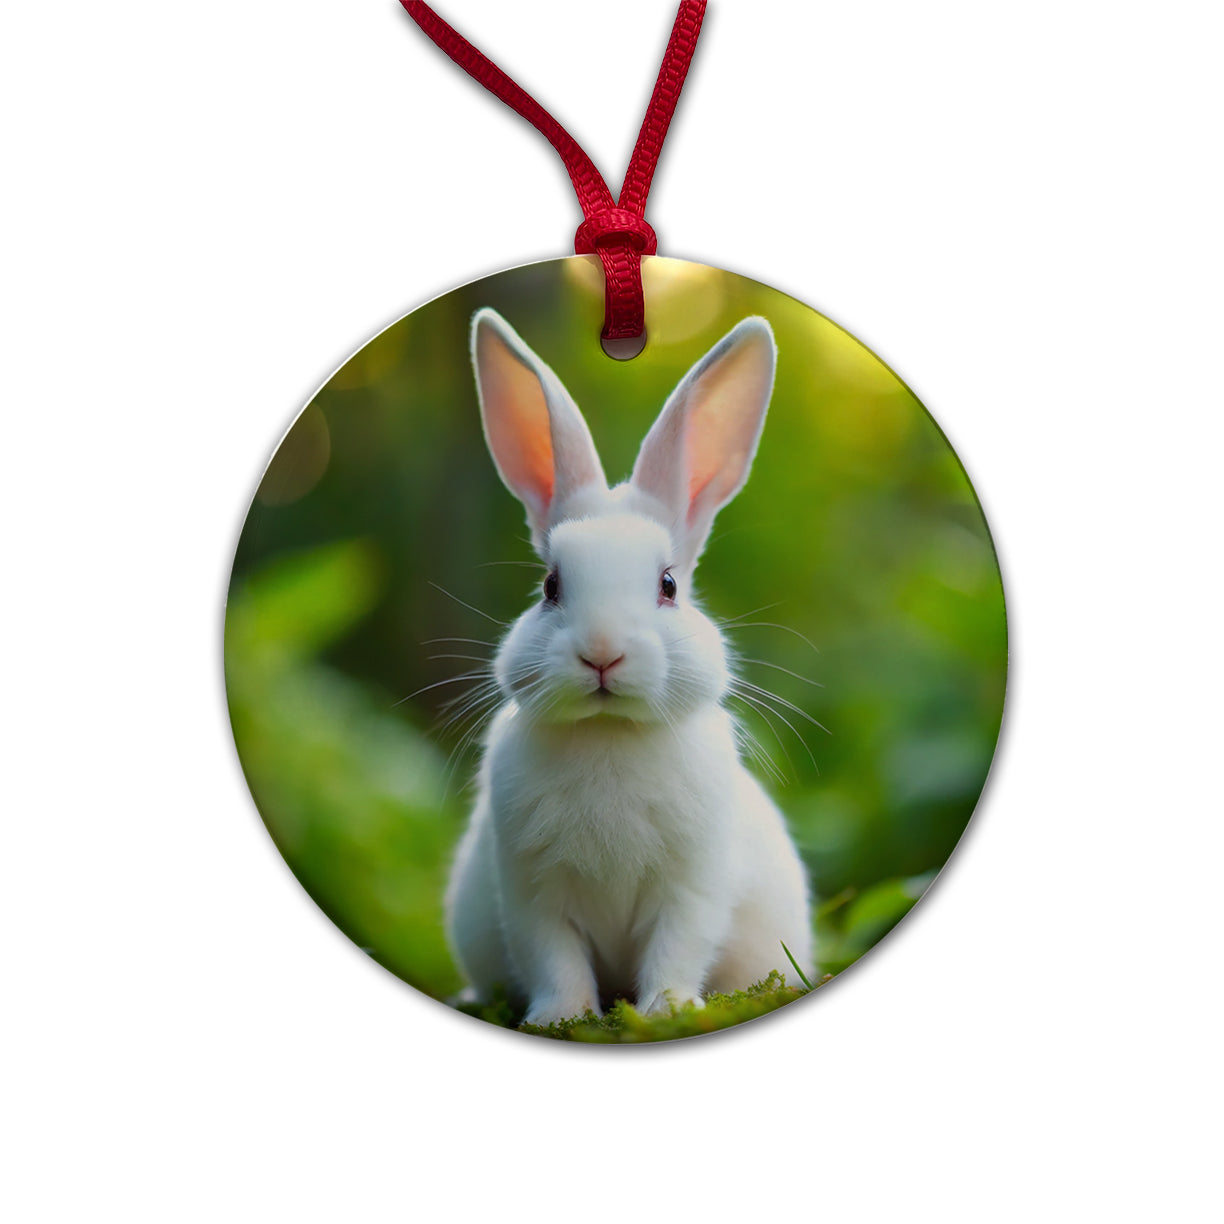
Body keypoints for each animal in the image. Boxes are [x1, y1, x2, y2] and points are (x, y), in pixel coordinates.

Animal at [445, 307, 814, 1027]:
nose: (602, 653)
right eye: (550, 587)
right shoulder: (532, 892)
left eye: (668, 585)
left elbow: (675, 949)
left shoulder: (690, 888)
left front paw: (668, 1012)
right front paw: (560, 1019)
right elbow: (555, 961)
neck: (608, 733)